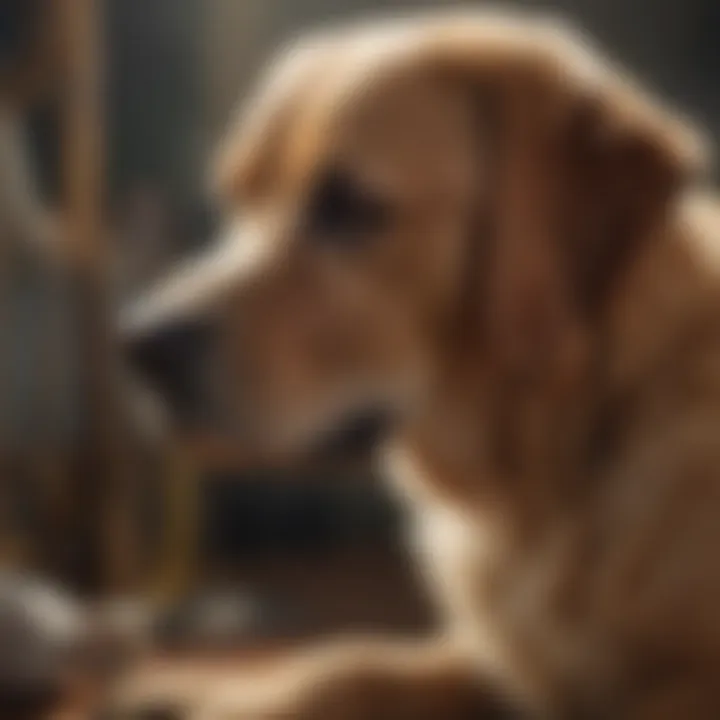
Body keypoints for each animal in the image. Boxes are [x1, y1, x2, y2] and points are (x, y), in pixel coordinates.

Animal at [121, 8, 720, 716]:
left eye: (350, 206)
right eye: (237, 201)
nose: (141, 346)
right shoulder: (494, 663)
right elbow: (351, 661)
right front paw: (194, 687)